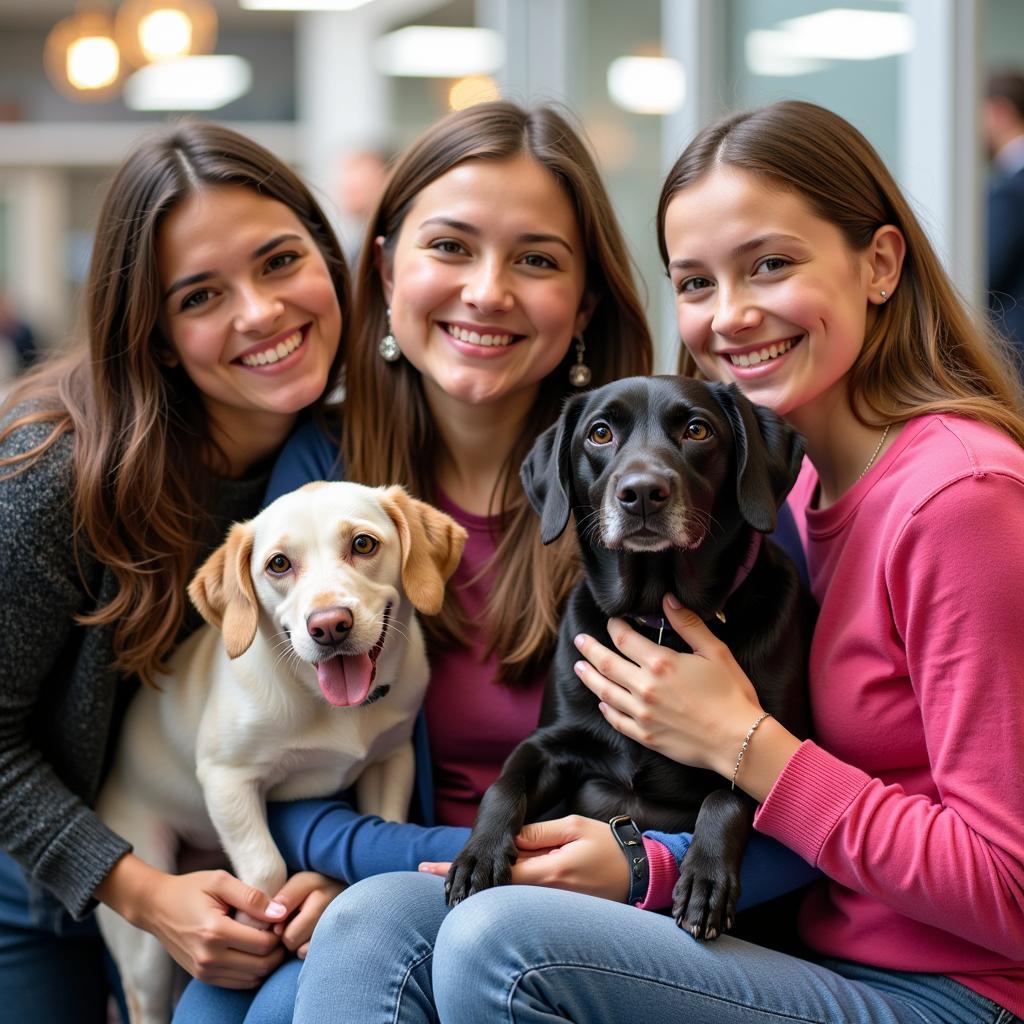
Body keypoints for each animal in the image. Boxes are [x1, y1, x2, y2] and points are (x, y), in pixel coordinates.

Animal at [96, 481, 464, 1024]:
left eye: (363, 544)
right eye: (278, 564)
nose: (329, 625)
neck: (328, 706)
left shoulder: (390, 759)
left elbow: (382, 823)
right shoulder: (227, 777)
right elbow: (266, 867)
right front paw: (259, 930)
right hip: (145, 948)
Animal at [444, 374, 811, 937]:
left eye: (697, 430)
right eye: (600, 433)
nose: (641, 494)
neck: (657, 620)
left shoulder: (768, 747)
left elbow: (726, 795)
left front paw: (705, 879)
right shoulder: (552, 742)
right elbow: (505, 784)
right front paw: (478, 854)